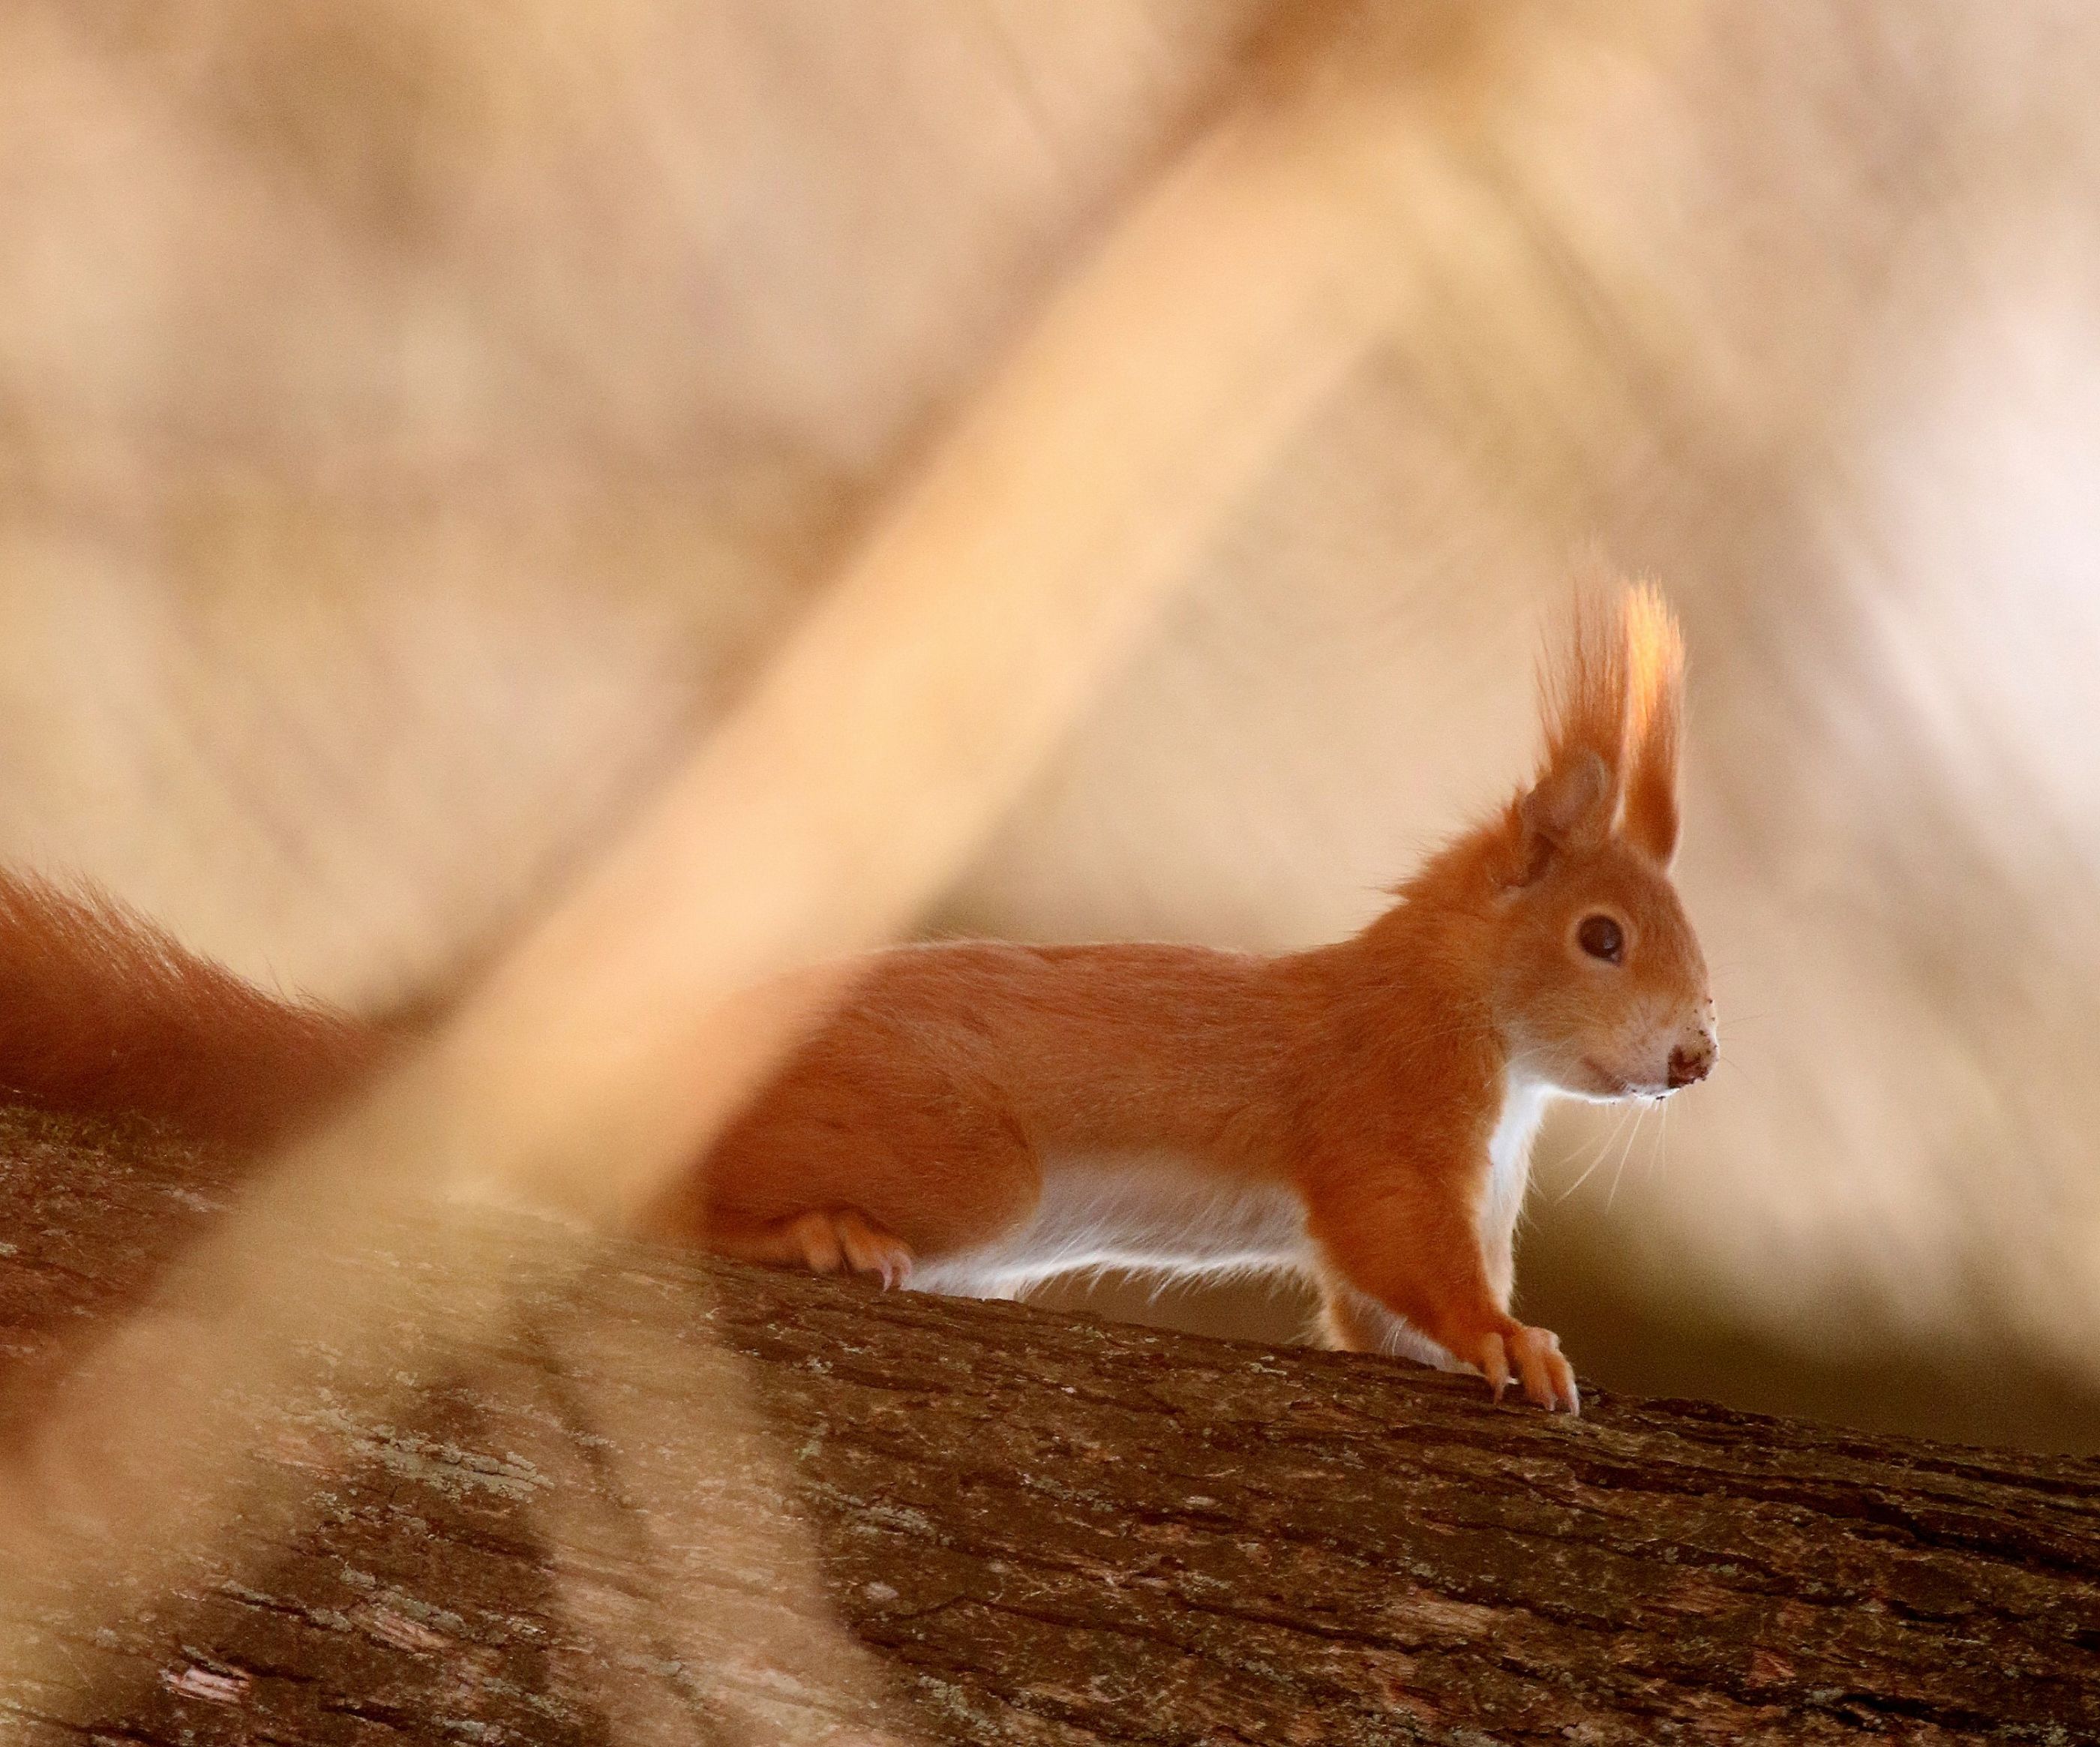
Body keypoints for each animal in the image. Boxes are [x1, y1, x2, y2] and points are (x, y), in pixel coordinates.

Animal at [0, 592, 1705, 1411]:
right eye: (1602, 936)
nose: (1695, 1056)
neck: (1483, 1027)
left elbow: (1368, 1310)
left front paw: (1480, 1345)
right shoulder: (1382, 1104)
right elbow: (1397, 1251)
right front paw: (1508, 1341)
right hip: (960, 1167)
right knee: (652, 1201)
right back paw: (809, 1233)